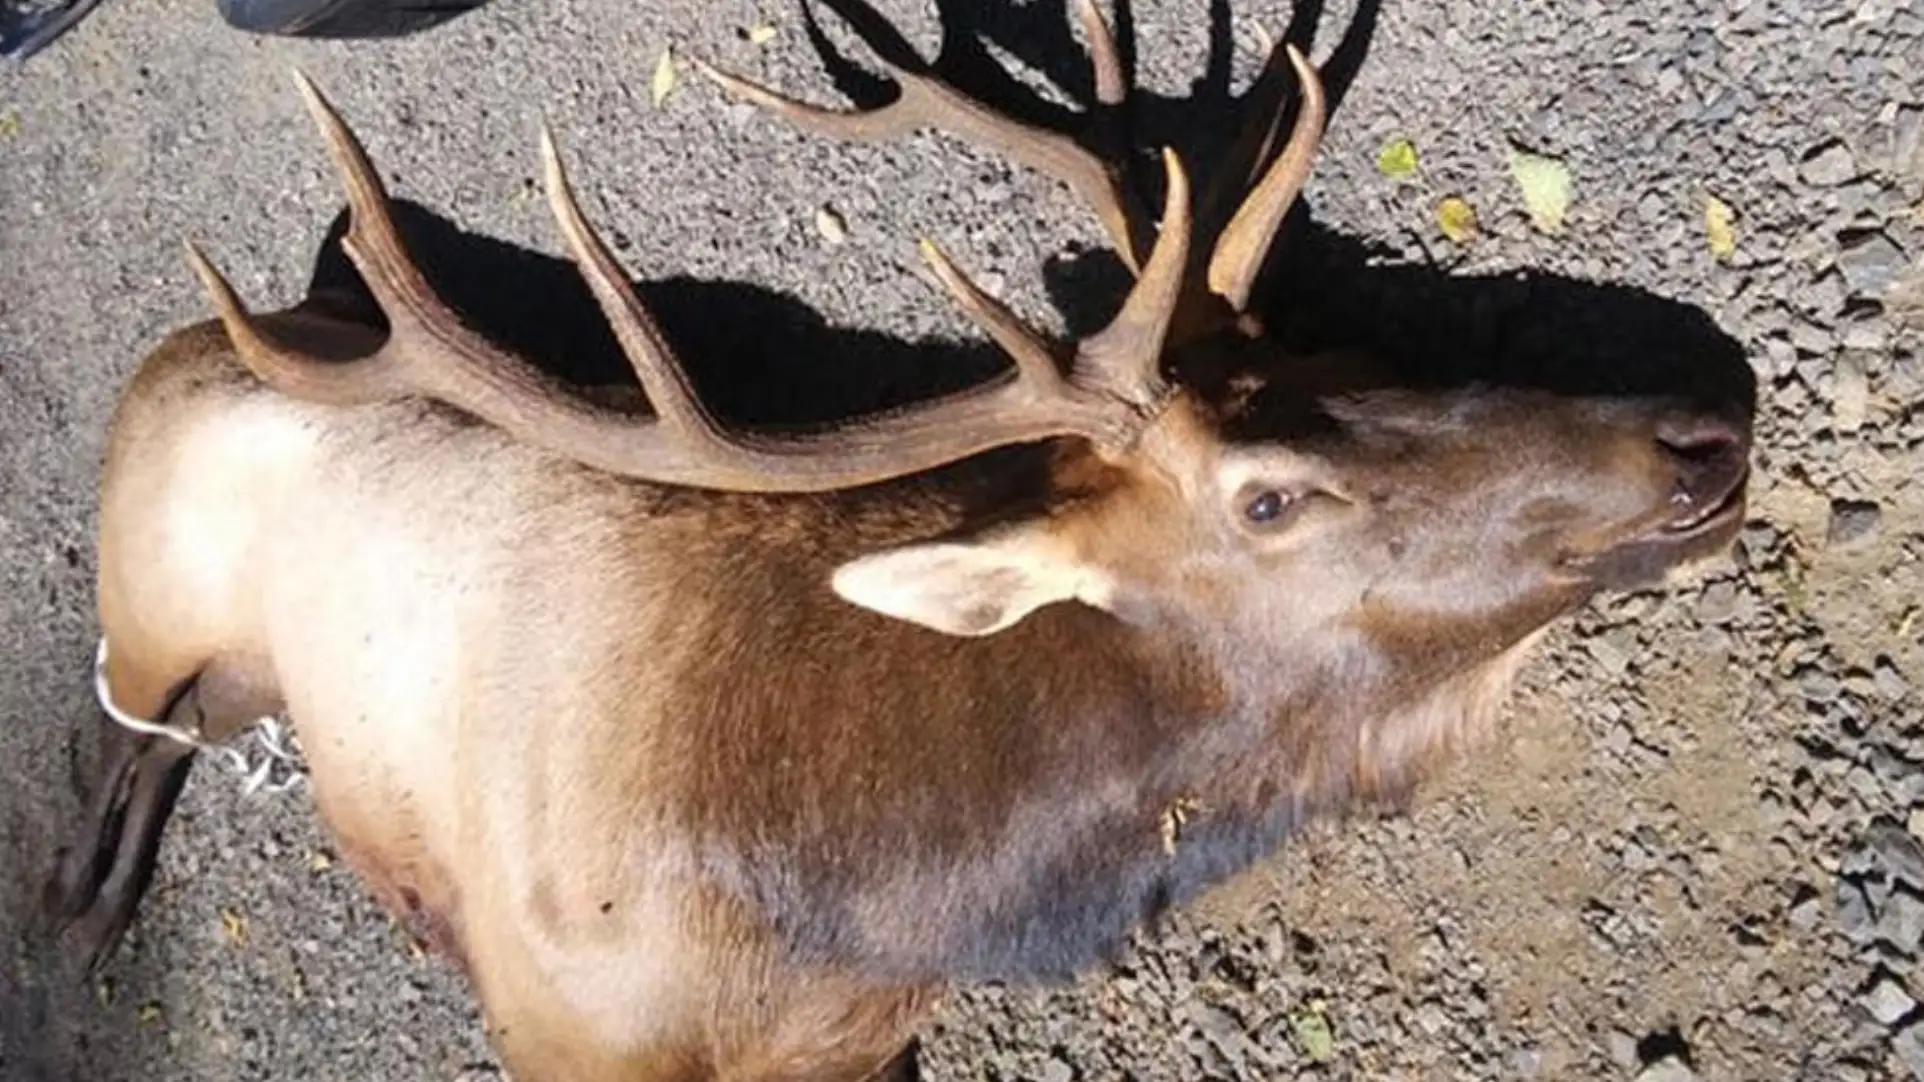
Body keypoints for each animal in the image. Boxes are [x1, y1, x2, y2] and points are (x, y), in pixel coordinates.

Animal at [41, 1, 1753, 1079]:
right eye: (1267, 494)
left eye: (1353, 351)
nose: (1703, 429)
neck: (859, 918)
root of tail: (213, 336)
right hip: (149, 593)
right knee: (122, 719)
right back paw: (80, 895)